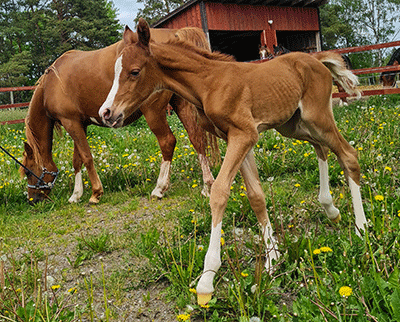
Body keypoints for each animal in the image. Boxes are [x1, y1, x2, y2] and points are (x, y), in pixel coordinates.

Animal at [21, 27, 216, 204]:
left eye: (29, 171)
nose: (32, 200)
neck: (50, 84)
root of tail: (174, 34)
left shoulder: (70, 122)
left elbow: (86, 157)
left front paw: (95, 193)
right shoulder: (79, 123)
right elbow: (77, 160)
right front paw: (76, 195)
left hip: (153, 113)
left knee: (167, 141)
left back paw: (159, 188)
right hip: (181, 104)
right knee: (197, 139)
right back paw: (207, 186)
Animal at [98, 18, 368, 306]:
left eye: (134, 72)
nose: (106, 112)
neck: (209, 84)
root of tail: (315, 59)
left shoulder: (244, 134)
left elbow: (219, 192)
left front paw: (207, 280)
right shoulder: (239, 138)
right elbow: (256, 196)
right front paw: (273, 259)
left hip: (317, 117)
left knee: (348, 155)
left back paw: (361, 228)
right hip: (293, 125)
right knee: (322, 148)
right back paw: (330, 209)